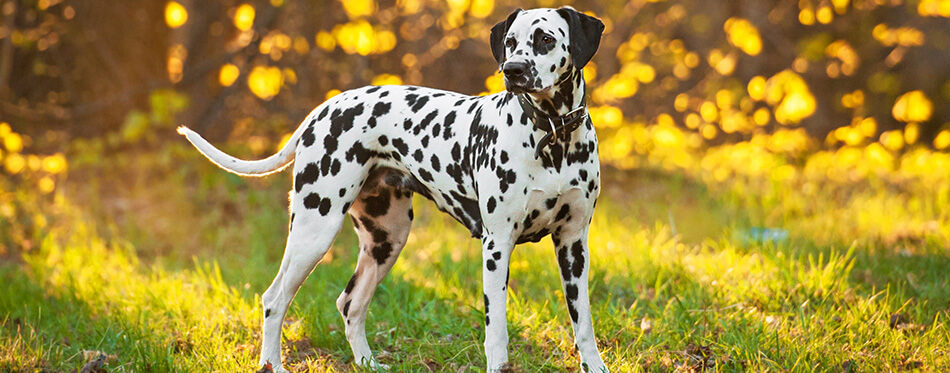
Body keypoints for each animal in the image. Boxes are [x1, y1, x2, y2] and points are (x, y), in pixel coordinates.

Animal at [178, 6, 608, 372]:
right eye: (511, 41)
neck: (553, 138)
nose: (513, 69)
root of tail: (324, 109)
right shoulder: (497, 245)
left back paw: (367, 362)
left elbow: (583, 323)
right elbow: (497, 333)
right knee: (275, 298)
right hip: (314, 231)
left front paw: (595, 365)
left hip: (386, 240)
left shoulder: (574, 244)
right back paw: (273, 363)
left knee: (350, 303)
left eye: (545, 39)